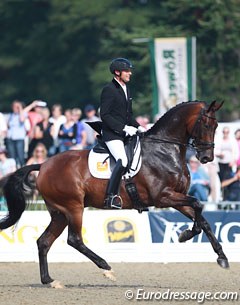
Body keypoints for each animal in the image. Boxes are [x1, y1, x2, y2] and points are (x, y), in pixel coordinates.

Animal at [0, 100, 229, 288]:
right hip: (73, 208)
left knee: (44, 241)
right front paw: (186, 234)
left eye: (217, 126)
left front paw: (221, 256)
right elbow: (198, 205)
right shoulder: (163, 197)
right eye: (206, 125)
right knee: (74, 239)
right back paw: (106, 268)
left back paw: (49, 280)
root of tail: (44, 164)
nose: (207, 157)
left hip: (59, 213)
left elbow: (202, 218)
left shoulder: (176, 198)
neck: (164, 151)